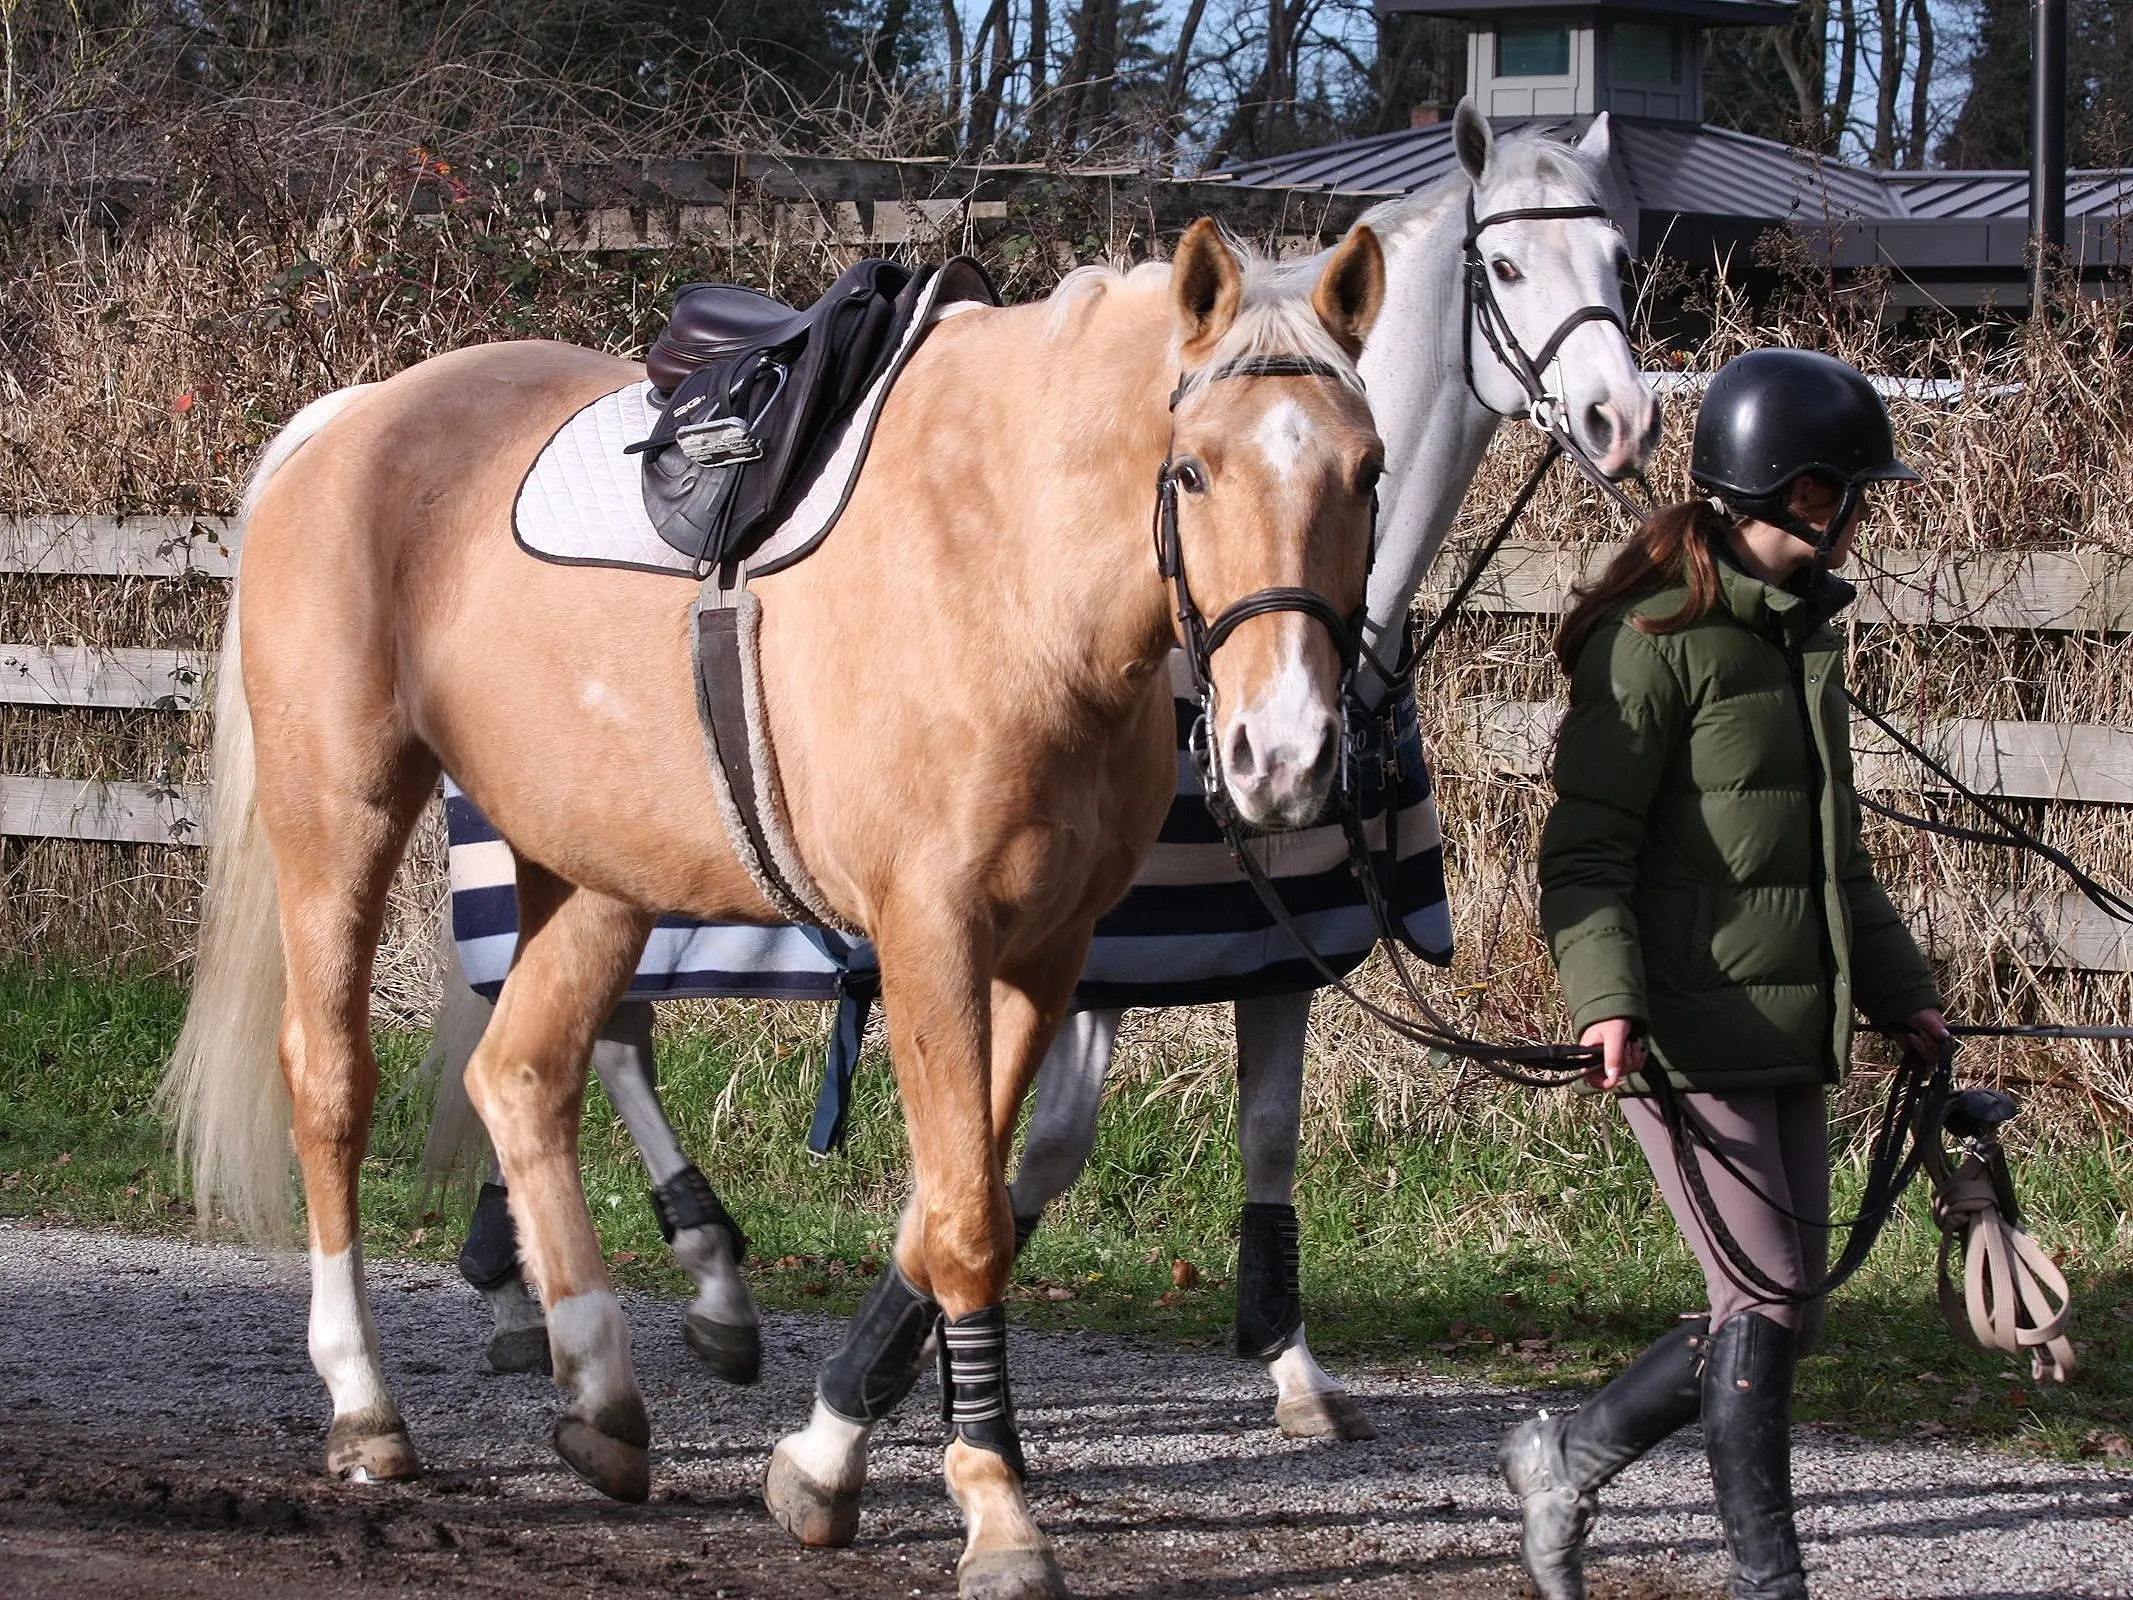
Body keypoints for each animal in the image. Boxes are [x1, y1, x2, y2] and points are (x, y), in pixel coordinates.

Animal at [170, 219, 1399, 1595]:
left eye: (1368, 470)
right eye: (1189, 471)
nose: (1283, 755)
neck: (1007, 567)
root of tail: (348, 420)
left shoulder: (1046, 952)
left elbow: (943, 1211)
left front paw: (823, 1457)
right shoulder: (932, 937)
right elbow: (967, 1222)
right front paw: (996, 1507)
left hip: (593, 869)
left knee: (521, 1074)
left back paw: (601, 1391)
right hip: (341, 813)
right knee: (332, 1084)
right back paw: (365, 1403)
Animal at [415, 106, 1646, 1450]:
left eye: (1619, 259)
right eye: (1509, 267)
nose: (1622, 418)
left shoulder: (1276, 943)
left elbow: (1266, 1138)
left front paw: (1290, 1359)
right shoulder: (1089, 949)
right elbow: (1037, 1153)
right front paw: (885, 1368)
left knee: (596, 1035)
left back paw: (587, 1280)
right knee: (596, 1039)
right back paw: (642, 1275)